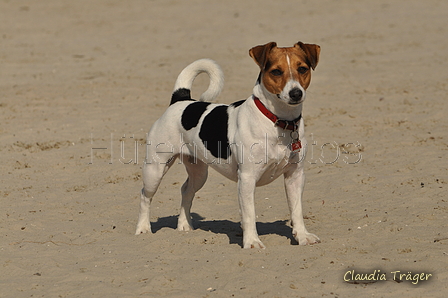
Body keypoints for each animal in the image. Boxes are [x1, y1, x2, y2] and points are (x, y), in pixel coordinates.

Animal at [135, 40, 320, 248]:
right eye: (276, 72)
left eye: (302, 69)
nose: (296, 93)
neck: (277, 121)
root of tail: (181, 100)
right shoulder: (247, 178)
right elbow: (249, 214)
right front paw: (252, 242)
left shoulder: (295, 175)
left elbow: (297, 211)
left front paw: (302, 236)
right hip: (155, 170)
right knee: (145, 196)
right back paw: (143, 228)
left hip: (199, 173)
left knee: (186, 191)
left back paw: (184, 224)